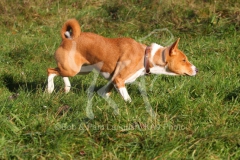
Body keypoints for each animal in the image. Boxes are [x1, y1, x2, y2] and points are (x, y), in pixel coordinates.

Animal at [46, 18, 197, 101]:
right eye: (184, 60)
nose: (197, 69)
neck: (146, 56)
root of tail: (67, 38)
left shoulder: (113, 81)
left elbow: (105, 93)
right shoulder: (119, 80)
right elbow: (128, 100)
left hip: (80, 69)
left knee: (58, 71)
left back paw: (67, 88)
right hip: (72, 69)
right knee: (50, 71)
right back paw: (50, 89)